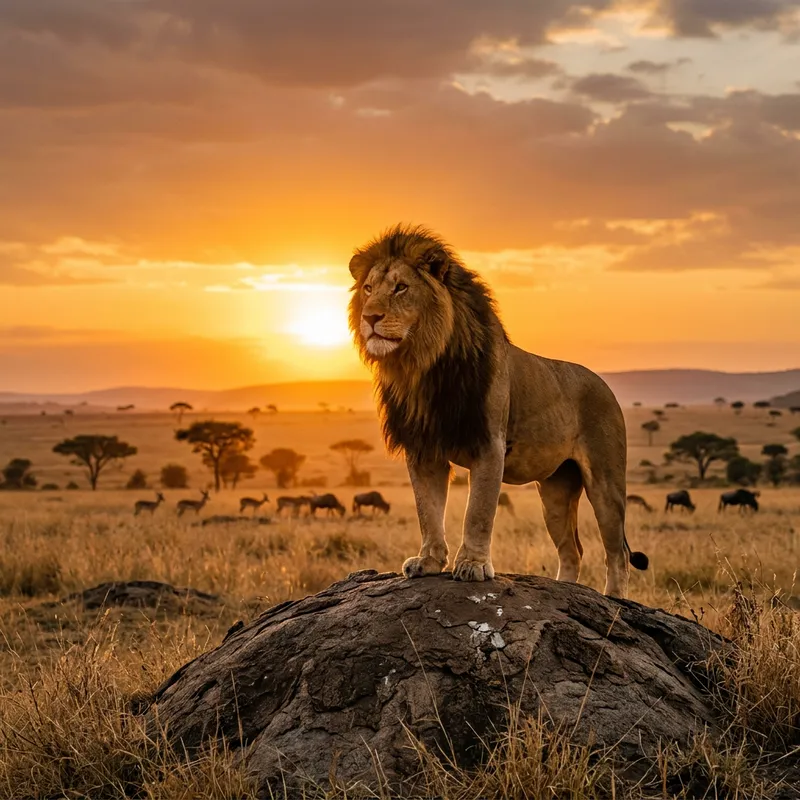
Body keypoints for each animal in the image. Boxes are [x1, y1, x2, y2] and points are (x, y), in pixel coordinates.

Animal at [348, 224, 648, 598]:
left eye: (401, 287)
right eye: (368, 289)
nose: (370, 317)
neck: (422, 366)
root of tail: (604, 384)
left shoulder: (489, 444)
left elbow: (478, 511)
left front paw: (472, 566)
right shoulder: (423, 450)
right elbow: (426, 510)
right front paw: (428, 562)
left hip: (605, 483)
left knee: (617, 551)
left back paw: (614, 599)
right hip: (555, 492)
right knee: (572, 549)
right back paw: (563, 589)